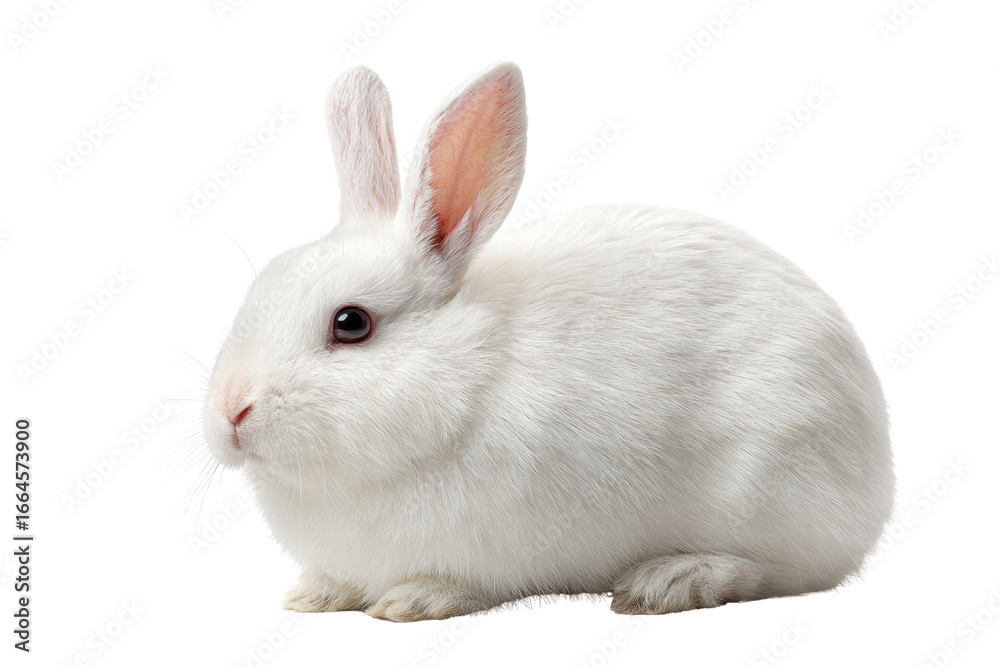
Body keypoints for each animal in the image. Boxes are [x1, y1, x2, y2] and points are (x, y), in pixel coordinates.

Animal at [202, 62, 895, 622]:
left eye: (351, 324)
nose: (232, 412)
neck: (467, 382)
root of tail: (877, 470)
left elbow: (457, 584)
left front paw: (412, 600)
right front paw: (314, 595)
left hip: (772, 488)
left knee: (784, 569)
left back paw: (669, 581)